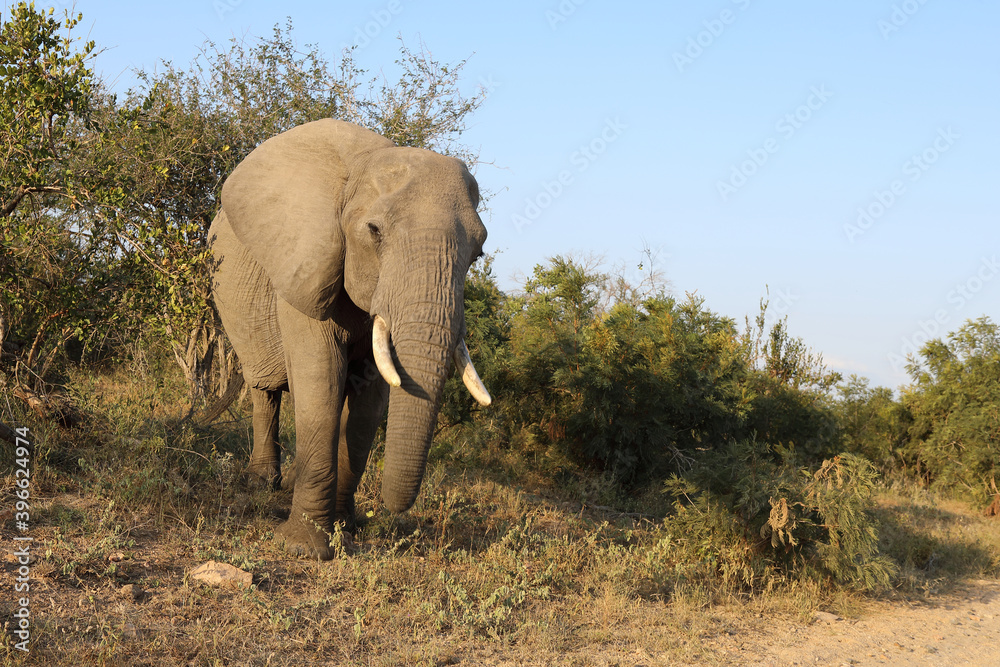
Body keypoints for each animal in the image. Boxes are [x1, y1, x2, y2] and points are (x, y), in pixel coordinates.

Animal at [209, 118, 490, 560]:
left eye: (477, 253)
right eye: (374, 232)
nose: (390, 511)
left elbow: (368, 406)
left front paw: (345, 530)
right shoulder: (306, 264)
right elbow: (320, 379)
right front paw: (304, 547)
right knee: (265, 388)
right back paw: (262, 483)